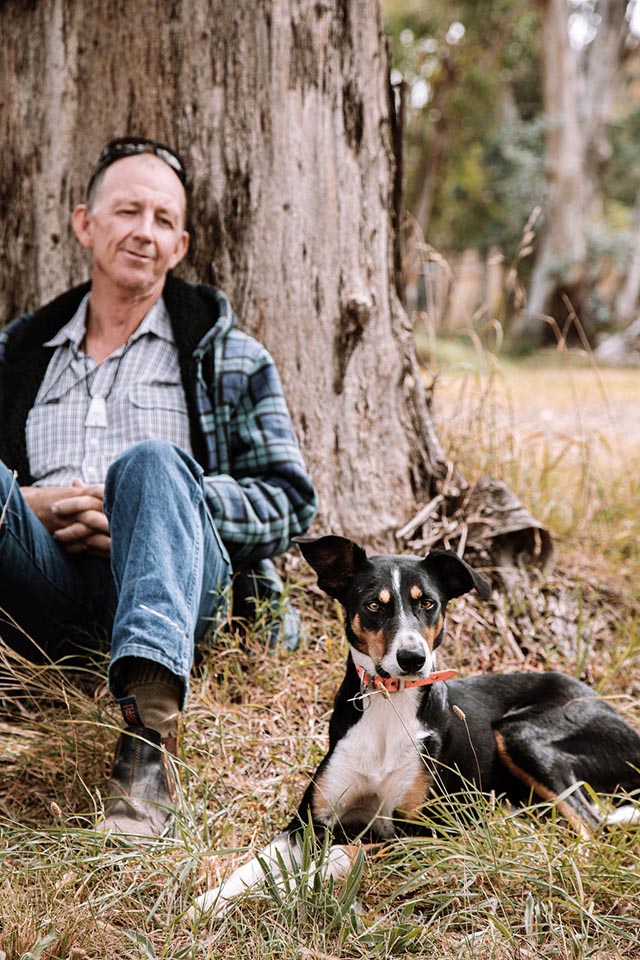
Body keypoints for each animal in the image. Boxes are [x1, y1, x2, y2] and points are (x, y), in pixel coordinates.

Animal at [194, 536, 640, 920]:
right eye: (374, 606)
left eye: (427, 602)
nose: (413, 658)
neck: (389, 707)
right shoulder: (307, 823)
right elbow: (254, 865)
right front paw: (210, 902)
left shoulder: (421, 832)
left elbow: (343, 855)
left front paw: (291, 888)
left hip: (519, 733)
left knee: (592, 825)